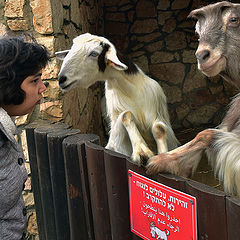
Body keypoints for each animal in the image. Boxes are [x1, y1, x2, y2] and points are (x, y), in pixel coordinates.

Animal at [55, 32, 178, 164]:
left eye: (94, 53)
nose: (61, 79)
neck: (132, 92)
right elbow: (126, 114)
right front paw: (141, 151)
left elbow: (158, 127)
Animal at [146, 1, 240, 197]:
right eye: (197, 32)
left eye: (234, 19)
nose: (201, 55)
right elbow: (204, 134)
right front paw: (163, 161)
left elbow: (207, 134)